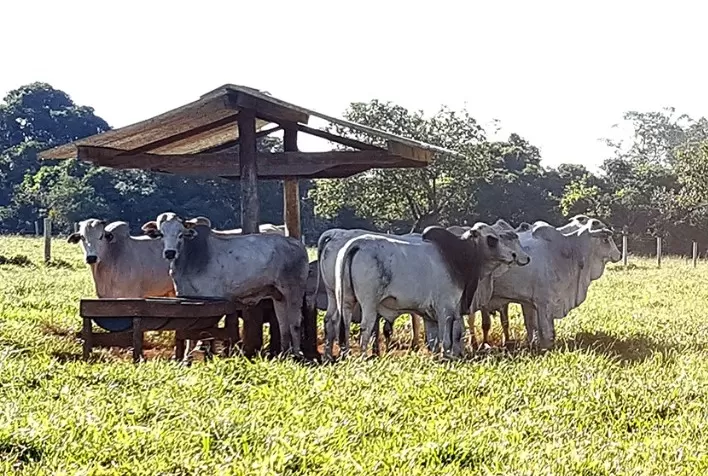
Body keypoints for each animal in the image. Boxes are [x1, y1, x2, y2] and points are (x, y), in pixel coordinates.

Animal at [141, 212, 310, 358]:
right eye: (161, 234)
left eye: (180, 234)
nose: (170, 253)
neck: (190, 258)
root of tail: (297, 244)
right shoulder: (187, 299)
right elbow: (188, 334)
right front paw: (186, 357)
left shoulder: (211, 301)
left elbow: (202, 333)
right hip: (278, 296)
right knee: (283, 324)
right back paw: (284, 353)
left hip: (293, 291)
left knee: (295, 322)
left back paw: (296, 354)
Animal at [333, 222, 530, 359]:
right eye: (492, 238)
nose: (513, 255)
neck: (459, 256)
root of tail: (357, 244)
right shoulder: (446, 309)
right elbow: (448, 337)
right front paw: (447, 356)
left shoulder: (430, 315)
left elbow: (436, 339)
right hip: (369, 304)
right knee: (365, 328)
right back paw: (363, 357)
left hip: (346, 301)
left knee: (344, 326)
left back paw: (346, 355)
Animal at [480, 218, 621, 350]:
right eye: (606, 240)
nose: (619, 255)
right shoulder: (544, 302)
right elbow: (546, 331)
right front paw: (546, 348)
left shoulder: (527, 302)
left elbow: (531, 326)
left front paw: (532, 344)